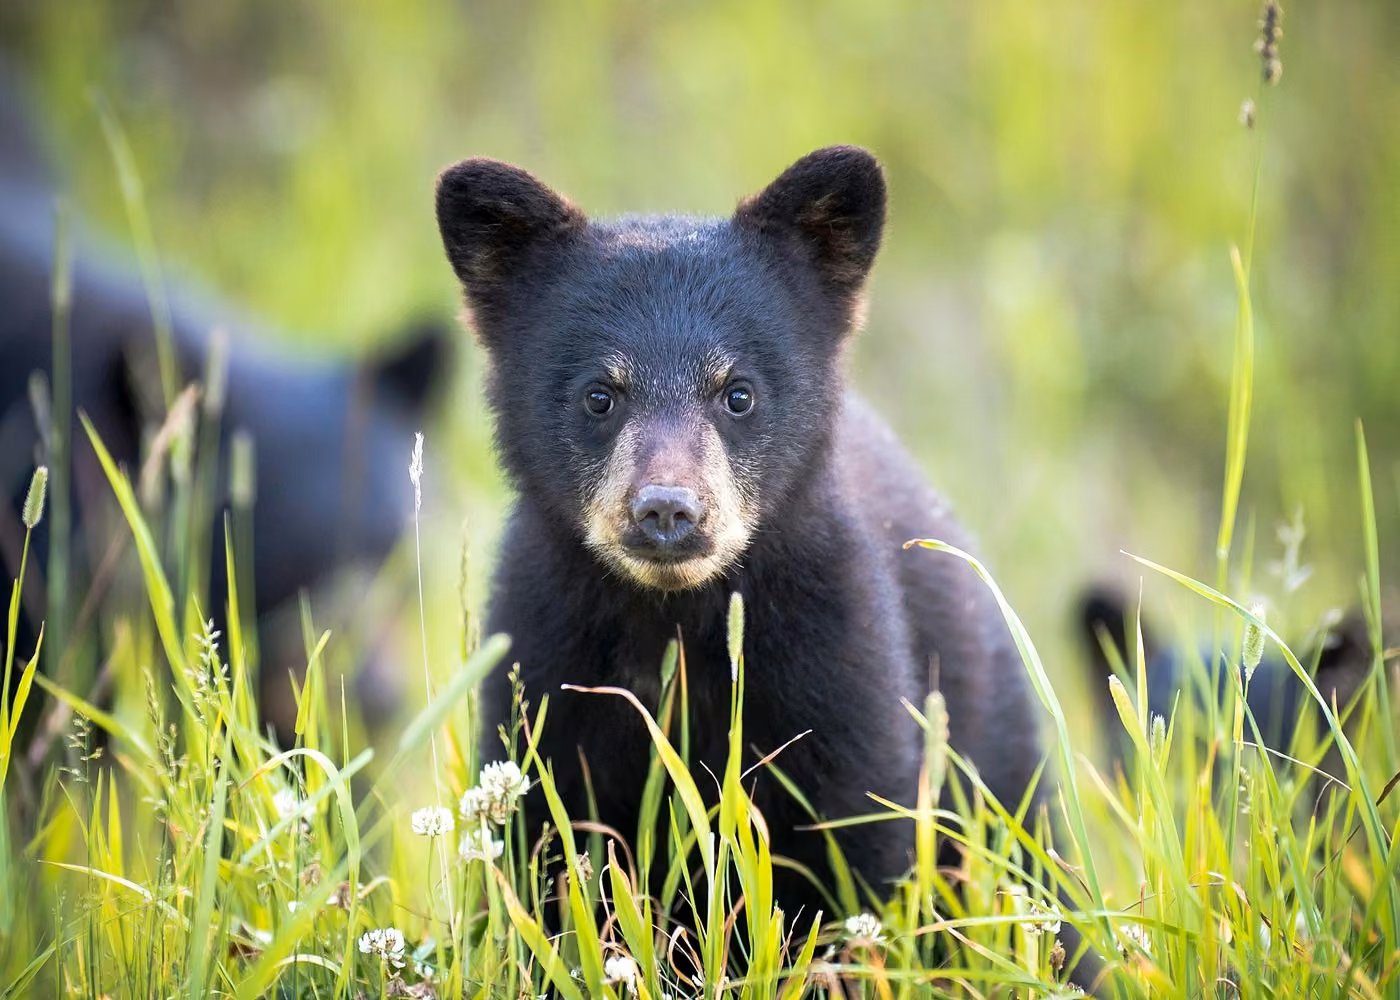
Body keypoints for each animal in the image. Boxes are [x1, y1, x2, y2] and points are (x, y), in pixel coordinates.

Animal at [435, 145, 1105, 984]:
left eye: (738, 393)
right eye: (598, 395)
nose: (667, 511)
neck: (675, 623)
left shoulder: (835, 661)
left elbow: (859, 848)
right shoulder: (546, 663)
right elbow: (546, 859)